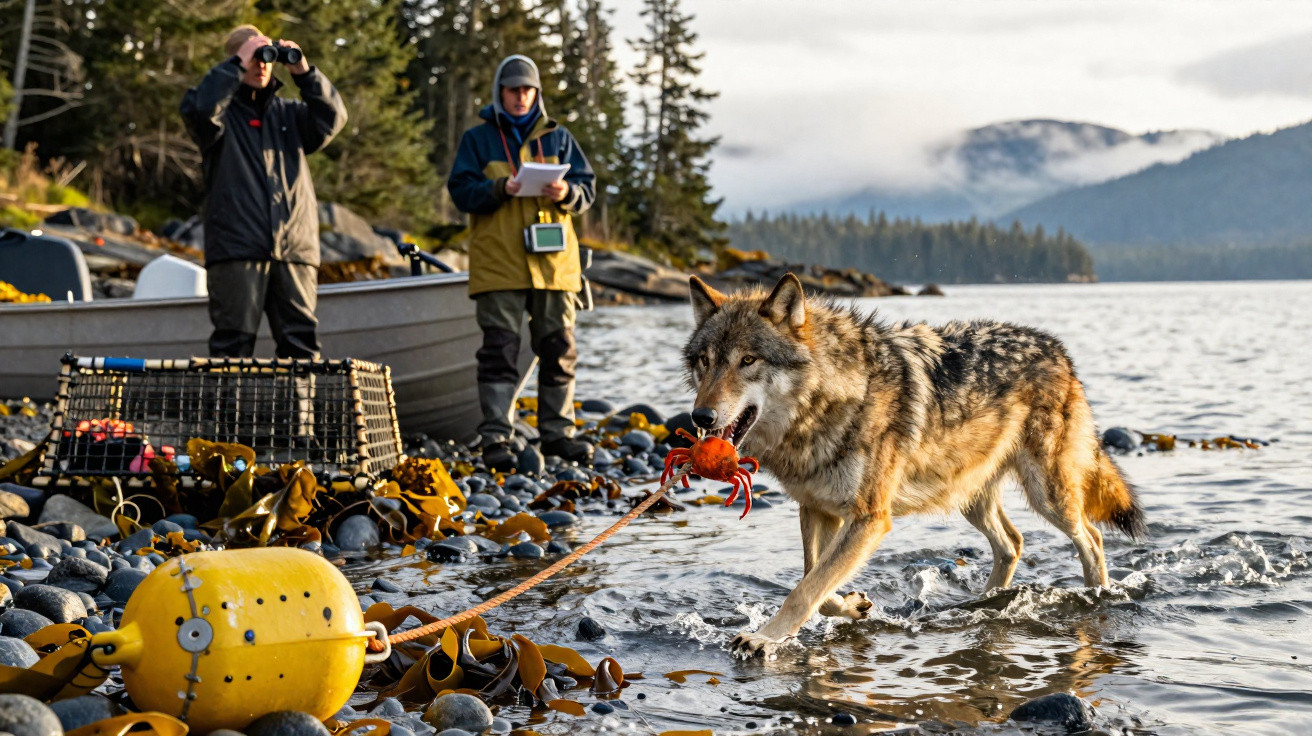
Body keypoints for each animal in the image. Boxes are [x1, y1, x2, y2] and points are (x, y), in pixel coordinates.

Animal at [682, 273, 1146, 656]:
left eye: (748, 360)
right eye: (705, 361)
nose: (700, 417)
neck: (830, 401)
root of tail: (1059, 350)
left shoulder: (869, 517)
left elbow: (804, 589)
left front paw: (764, 638)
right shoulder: (818, 509)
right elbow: (815, 581)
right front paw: (852, 605)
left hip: (1047, 496)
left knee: (1091, 538)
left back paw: (1097, 597)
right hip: (969, 497)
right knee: (1013, 543)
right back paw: (982, 604)